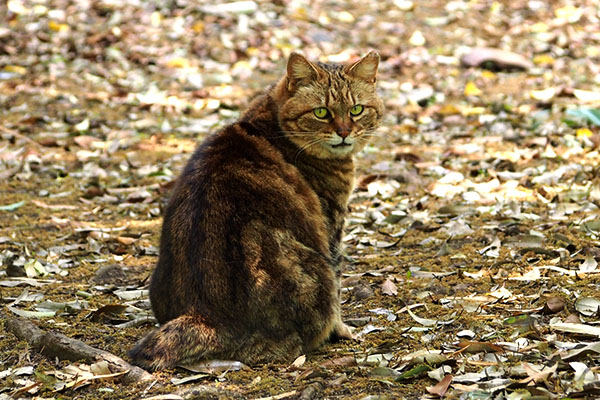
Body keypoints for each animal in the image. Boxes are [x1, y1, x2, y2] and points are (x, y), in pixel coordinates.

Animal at [130, 51, 384, 370]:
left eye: (357, 109)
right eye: (321, 112)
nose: (344, 133)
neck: (268, 119)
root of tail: (205, 315)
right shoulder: (332, 227)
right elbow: (339, 286)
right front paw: (343, 330)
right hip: (316, 268)